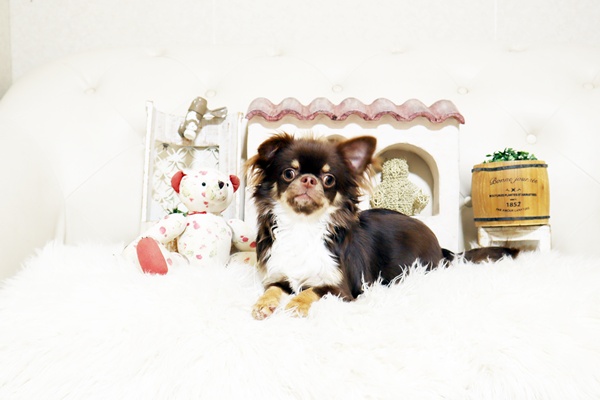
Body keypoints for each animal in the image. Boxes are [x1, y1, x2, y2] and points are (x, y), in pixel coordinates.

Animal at [246, 133, 518, 320]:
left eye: (329, 179)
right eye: (288, 173)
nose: (309, 179)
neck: (303, 225)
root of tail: (441, 248)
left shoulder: (342, 289)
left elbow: (312, 290)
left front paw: (296, 304)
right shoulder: (280, 275)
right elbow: (273, 288)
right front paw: (263, 303)